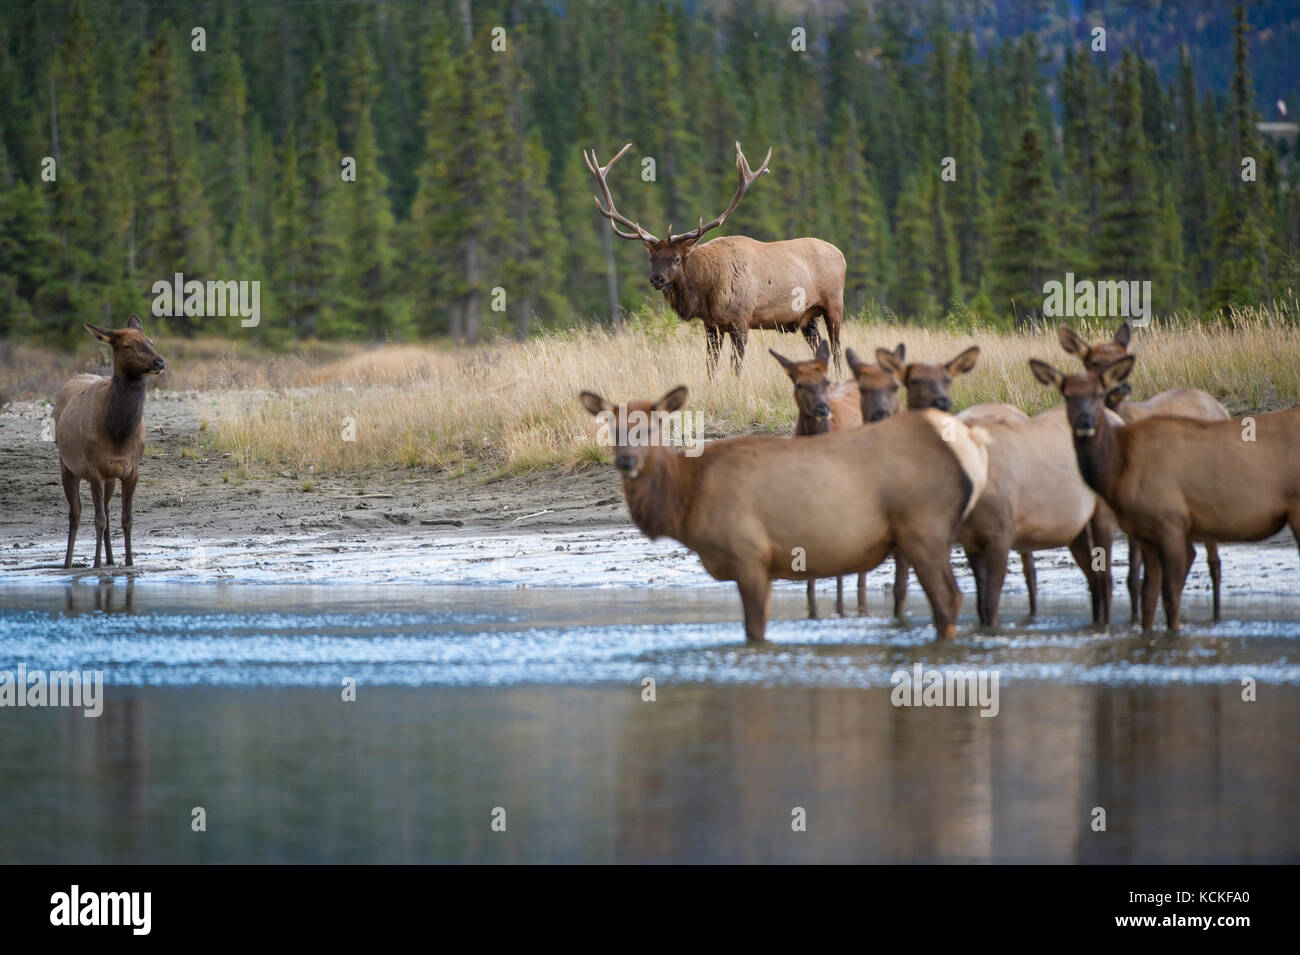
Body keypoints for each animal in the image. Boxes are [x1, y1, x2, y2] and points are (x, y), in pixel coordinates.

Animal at [53, 314, 167, 566]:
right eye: (127, 346)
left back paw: (112, 560)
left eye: (150, 341)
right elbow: (99, 519)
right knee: (75, 513)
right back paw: (68, 563)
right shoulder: (94, 468)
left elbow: (126, 518)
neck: (119, 436)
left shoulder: (130, 469)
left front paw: (129, 563)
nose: (159, 362)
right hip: (67, 464)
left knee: (105, 508)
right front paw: (96, 565)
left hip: (110, 478)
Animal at [574, 387, 987, 641]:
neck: (687, 500)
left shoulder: (749, 553)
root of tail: (968, 453)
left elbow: (754, 631)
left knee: (949, 599)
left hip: (924, 528)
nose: (626, 461)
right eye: (611, 427)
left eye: (653, 426)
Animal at [585, 141, 847, 376]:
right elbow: (710, 367)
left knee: (836, 348)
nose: (656, 278)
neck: (707, 290)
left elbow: (735, 367)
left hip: (834, 304)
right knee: (819, 346)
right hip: (807, 317)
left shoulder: (741, 319)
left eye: (676, 258)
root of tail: (841, 254)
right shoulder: (711, 324)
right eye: (652, 258)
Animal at [1055, 320, 1227, 621]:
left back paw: (1216, 616)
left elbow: (1134, 571)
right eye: (1095, 362)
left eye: (1125, 358)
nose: (1121, 385)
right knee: (1194, 553)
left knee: (1213, 561)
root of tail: (1222, 407)